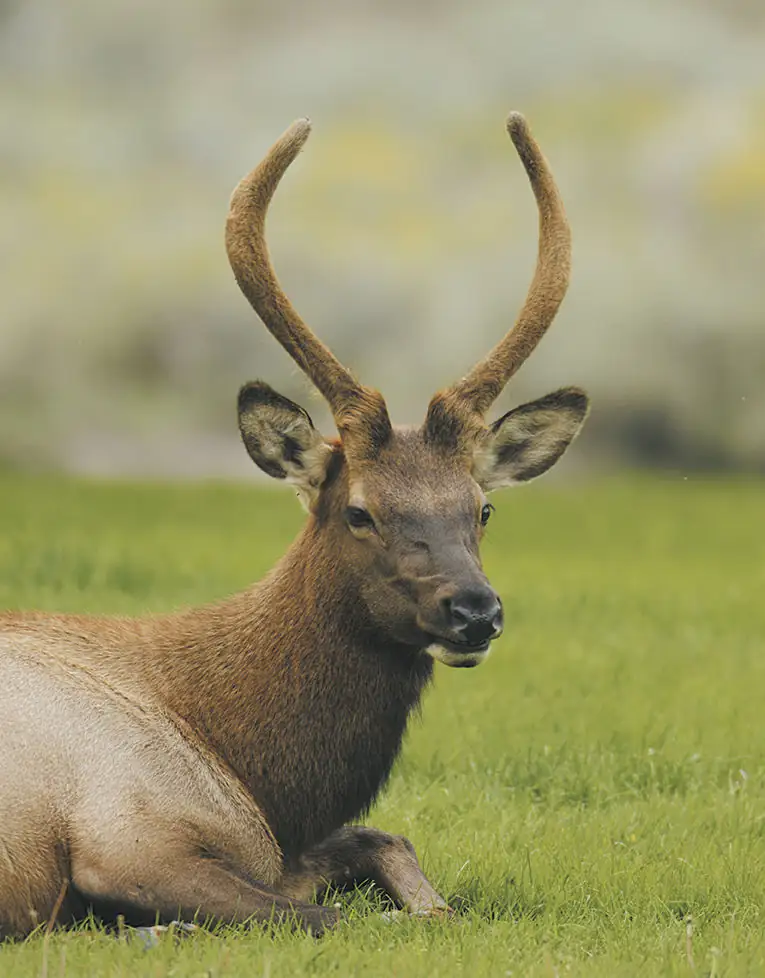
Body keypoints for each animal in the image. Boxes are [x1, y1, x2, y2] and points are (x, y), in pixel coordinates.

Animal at [0, 113, 589, 940]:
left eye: (482, 507)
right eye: (359, 510)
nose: (475, 610)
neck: (256, 773)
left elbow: (394, 848)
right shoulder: (125, 836)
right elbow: (341, 915)